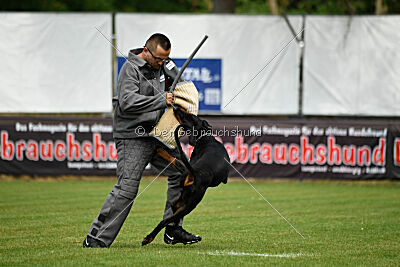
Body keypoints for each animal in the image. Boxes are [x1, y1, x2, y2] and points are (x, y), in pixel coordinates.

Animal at [141, 107, 230, 247]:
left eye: (191, 116)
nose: (176, 107)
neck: (205, 139)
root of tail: (195, 173)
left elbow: (177, 160)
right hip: (190, 204)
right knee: (167, 220)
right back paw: (149, 238)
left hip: (182, 196)